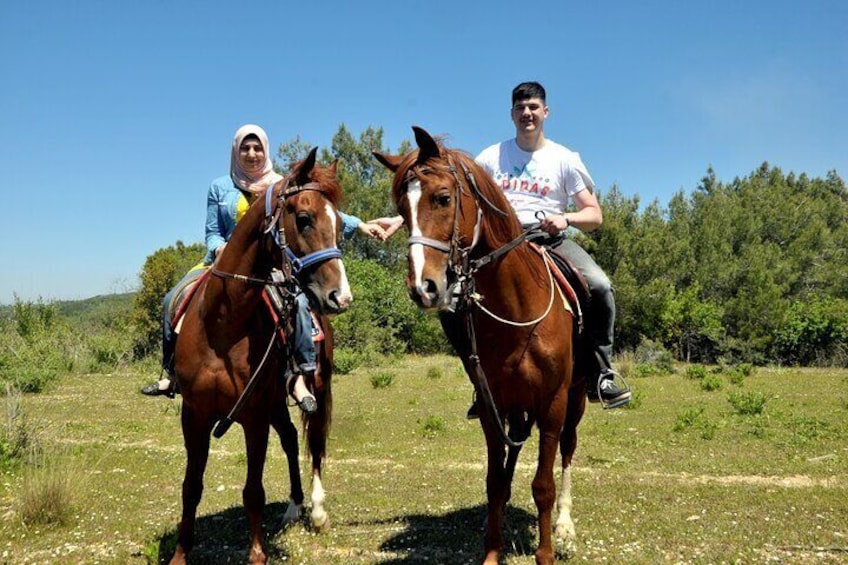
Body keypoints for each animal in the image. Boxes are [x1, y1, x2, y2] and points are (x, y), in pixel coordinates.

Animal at [169, 149, 348, 564]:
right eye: (304, 218)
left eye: (339, 224)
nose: (340, 296)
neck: (223, 324)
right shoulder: (194, 415)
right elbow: (191, 486)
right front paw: (180, 554)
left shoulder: (252, 416)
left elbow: (253, 491)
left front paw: (257, 554)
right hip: (276, 401)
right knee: (290, 439)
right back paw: (294, 507)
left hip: (313, 388)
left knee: (314, 442)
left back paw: (316, 511)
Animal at [378, 128, 588, 564]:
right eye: (402, 209)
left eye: (443, 197)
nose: (423, 287)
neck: (519, 312)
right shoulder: (493, 405)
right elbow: (495, 481)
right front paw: (492, 550)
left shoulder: (553, 404)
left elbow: (543, 484)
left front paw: (545, 552)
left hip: (575, 401)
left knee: (568, 451)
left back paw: (565, 526)